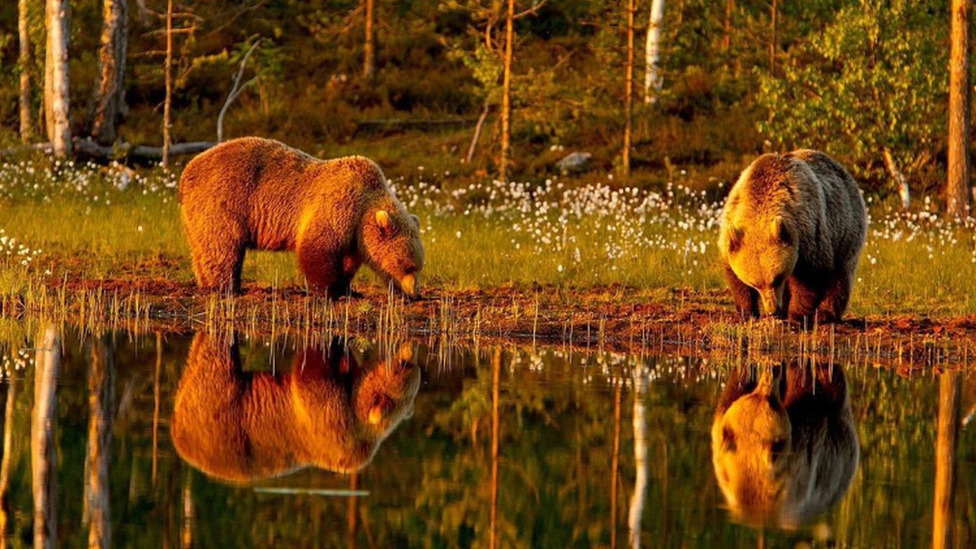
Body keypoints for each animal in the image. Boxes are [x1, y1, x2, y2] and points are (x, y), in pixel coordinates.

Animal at [179, 139, 424, 298]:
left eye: (419, 266)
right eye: (407, 266)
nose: (415, 294)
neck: (363, 208)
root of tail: (187, 171)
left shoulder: (354, 235)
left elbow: (346, 261)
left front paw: (347, 289)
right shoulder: (336, 206)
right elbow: (318, 248)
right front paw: (326, 290)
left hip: (194, 217)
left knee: (203, 249)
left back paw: (206, 283)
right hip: (223, 201)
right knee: (224, 246)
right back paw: (227, 287)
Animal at [716, 150, 868, 322]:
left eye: (777, 278)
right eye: (755, 284)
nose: (772, 310)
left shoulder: (809, 232)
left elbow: (809, 278)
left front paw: (795, 315)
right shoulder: (731, 232)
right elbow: (736, 280)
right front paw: (748, 312)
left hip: (846, 228)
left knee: (840, 275)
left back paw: (825, 313)